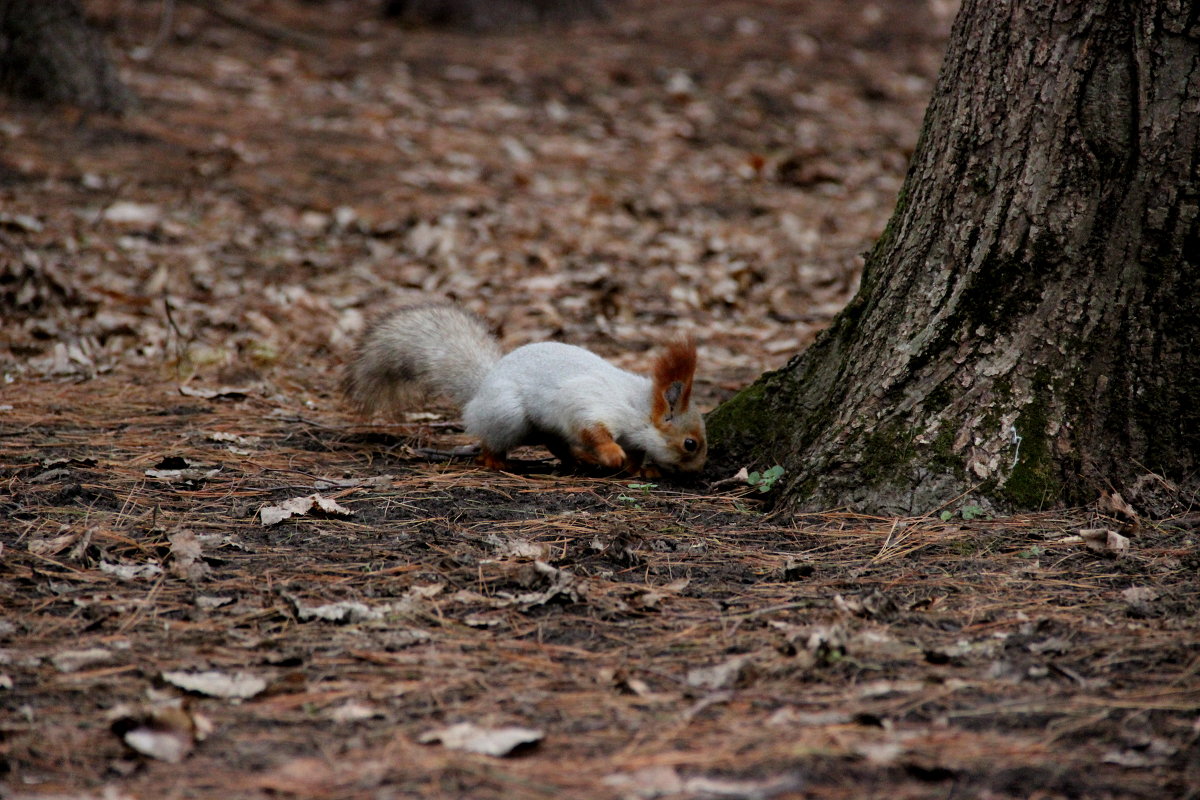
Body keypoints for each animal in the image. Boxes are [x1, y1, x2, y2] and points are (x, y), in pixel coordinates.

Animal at [340, 304, 700, 479]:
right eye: (690, 444)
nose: (696, 472)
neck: (638, 408)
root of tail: (483, 387)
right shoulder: (591, 401)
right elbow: (590, 424)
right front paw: (612, 454)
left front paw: (641, 468)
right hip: (508, 416)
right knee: (490, 449)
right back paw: (502, 463)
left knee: (556, 445)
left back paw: (578, 460)